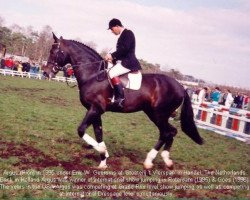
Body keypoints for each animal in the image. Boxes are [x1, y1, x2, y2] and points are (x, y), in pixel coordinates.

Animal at [43, 33, 203, 170]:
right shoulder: (95, 111)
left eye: (54, 51)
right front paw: (103, 161)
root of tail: (181, 86)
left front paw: (103, 151)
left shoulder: (95, 109)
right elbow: (98, 133)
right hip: (153, 113)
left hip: (160, 114)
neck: (93, 74)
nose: (46, 72)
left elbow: (81, 130)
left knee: (166, 132)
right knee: (170, 132)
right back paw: (166, 160)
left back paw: (149, 161)